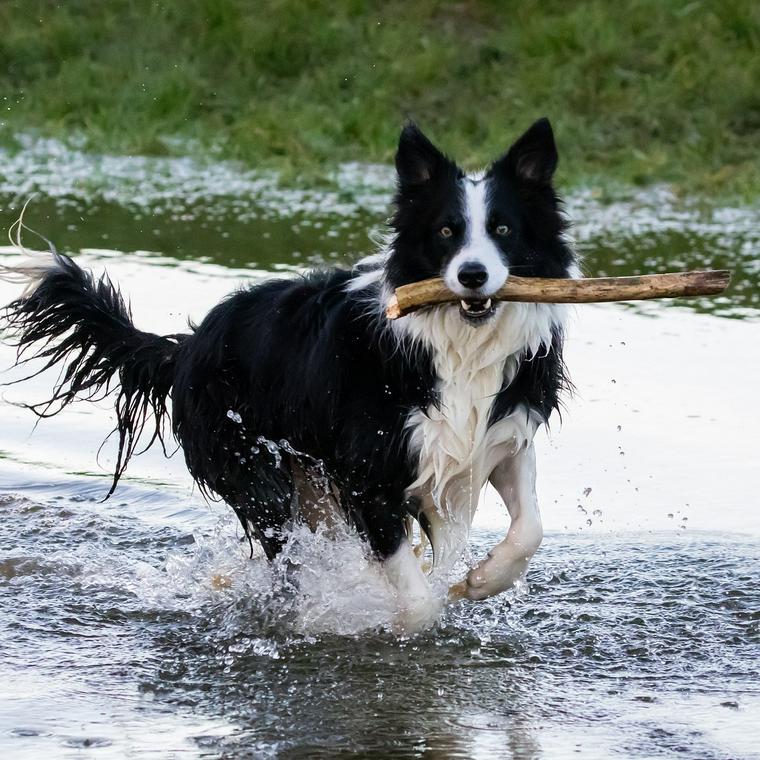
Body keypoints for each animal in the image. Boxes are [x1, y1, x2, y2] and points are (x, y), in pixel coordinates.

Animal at [0, 117, 576, 628]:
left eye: (503, 229)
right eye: (446, 231)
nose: (473, 275)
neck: (457, 343)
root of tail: (188, 346)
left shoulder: (501, 434)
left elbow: (530, 529)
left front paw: (480, 581)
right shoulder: (369, 475)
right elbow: (414, 599)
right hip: (257, 472)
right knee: (287, 556)